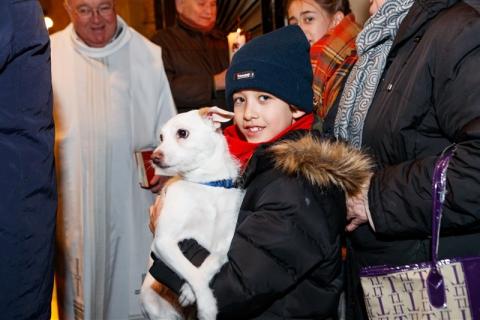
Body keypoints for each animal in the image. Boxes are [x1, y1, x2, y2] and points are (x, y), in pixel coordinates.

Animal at [139, 107, 244, 320]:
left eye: (182, 133)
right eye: (161, 137)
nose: (154, 157)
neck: (206, 185)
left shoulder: (224, 245)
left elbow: (208, 263)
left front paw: (189, 292)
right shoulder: (163, 242)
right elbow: (191, 271)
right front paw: (207, 306)